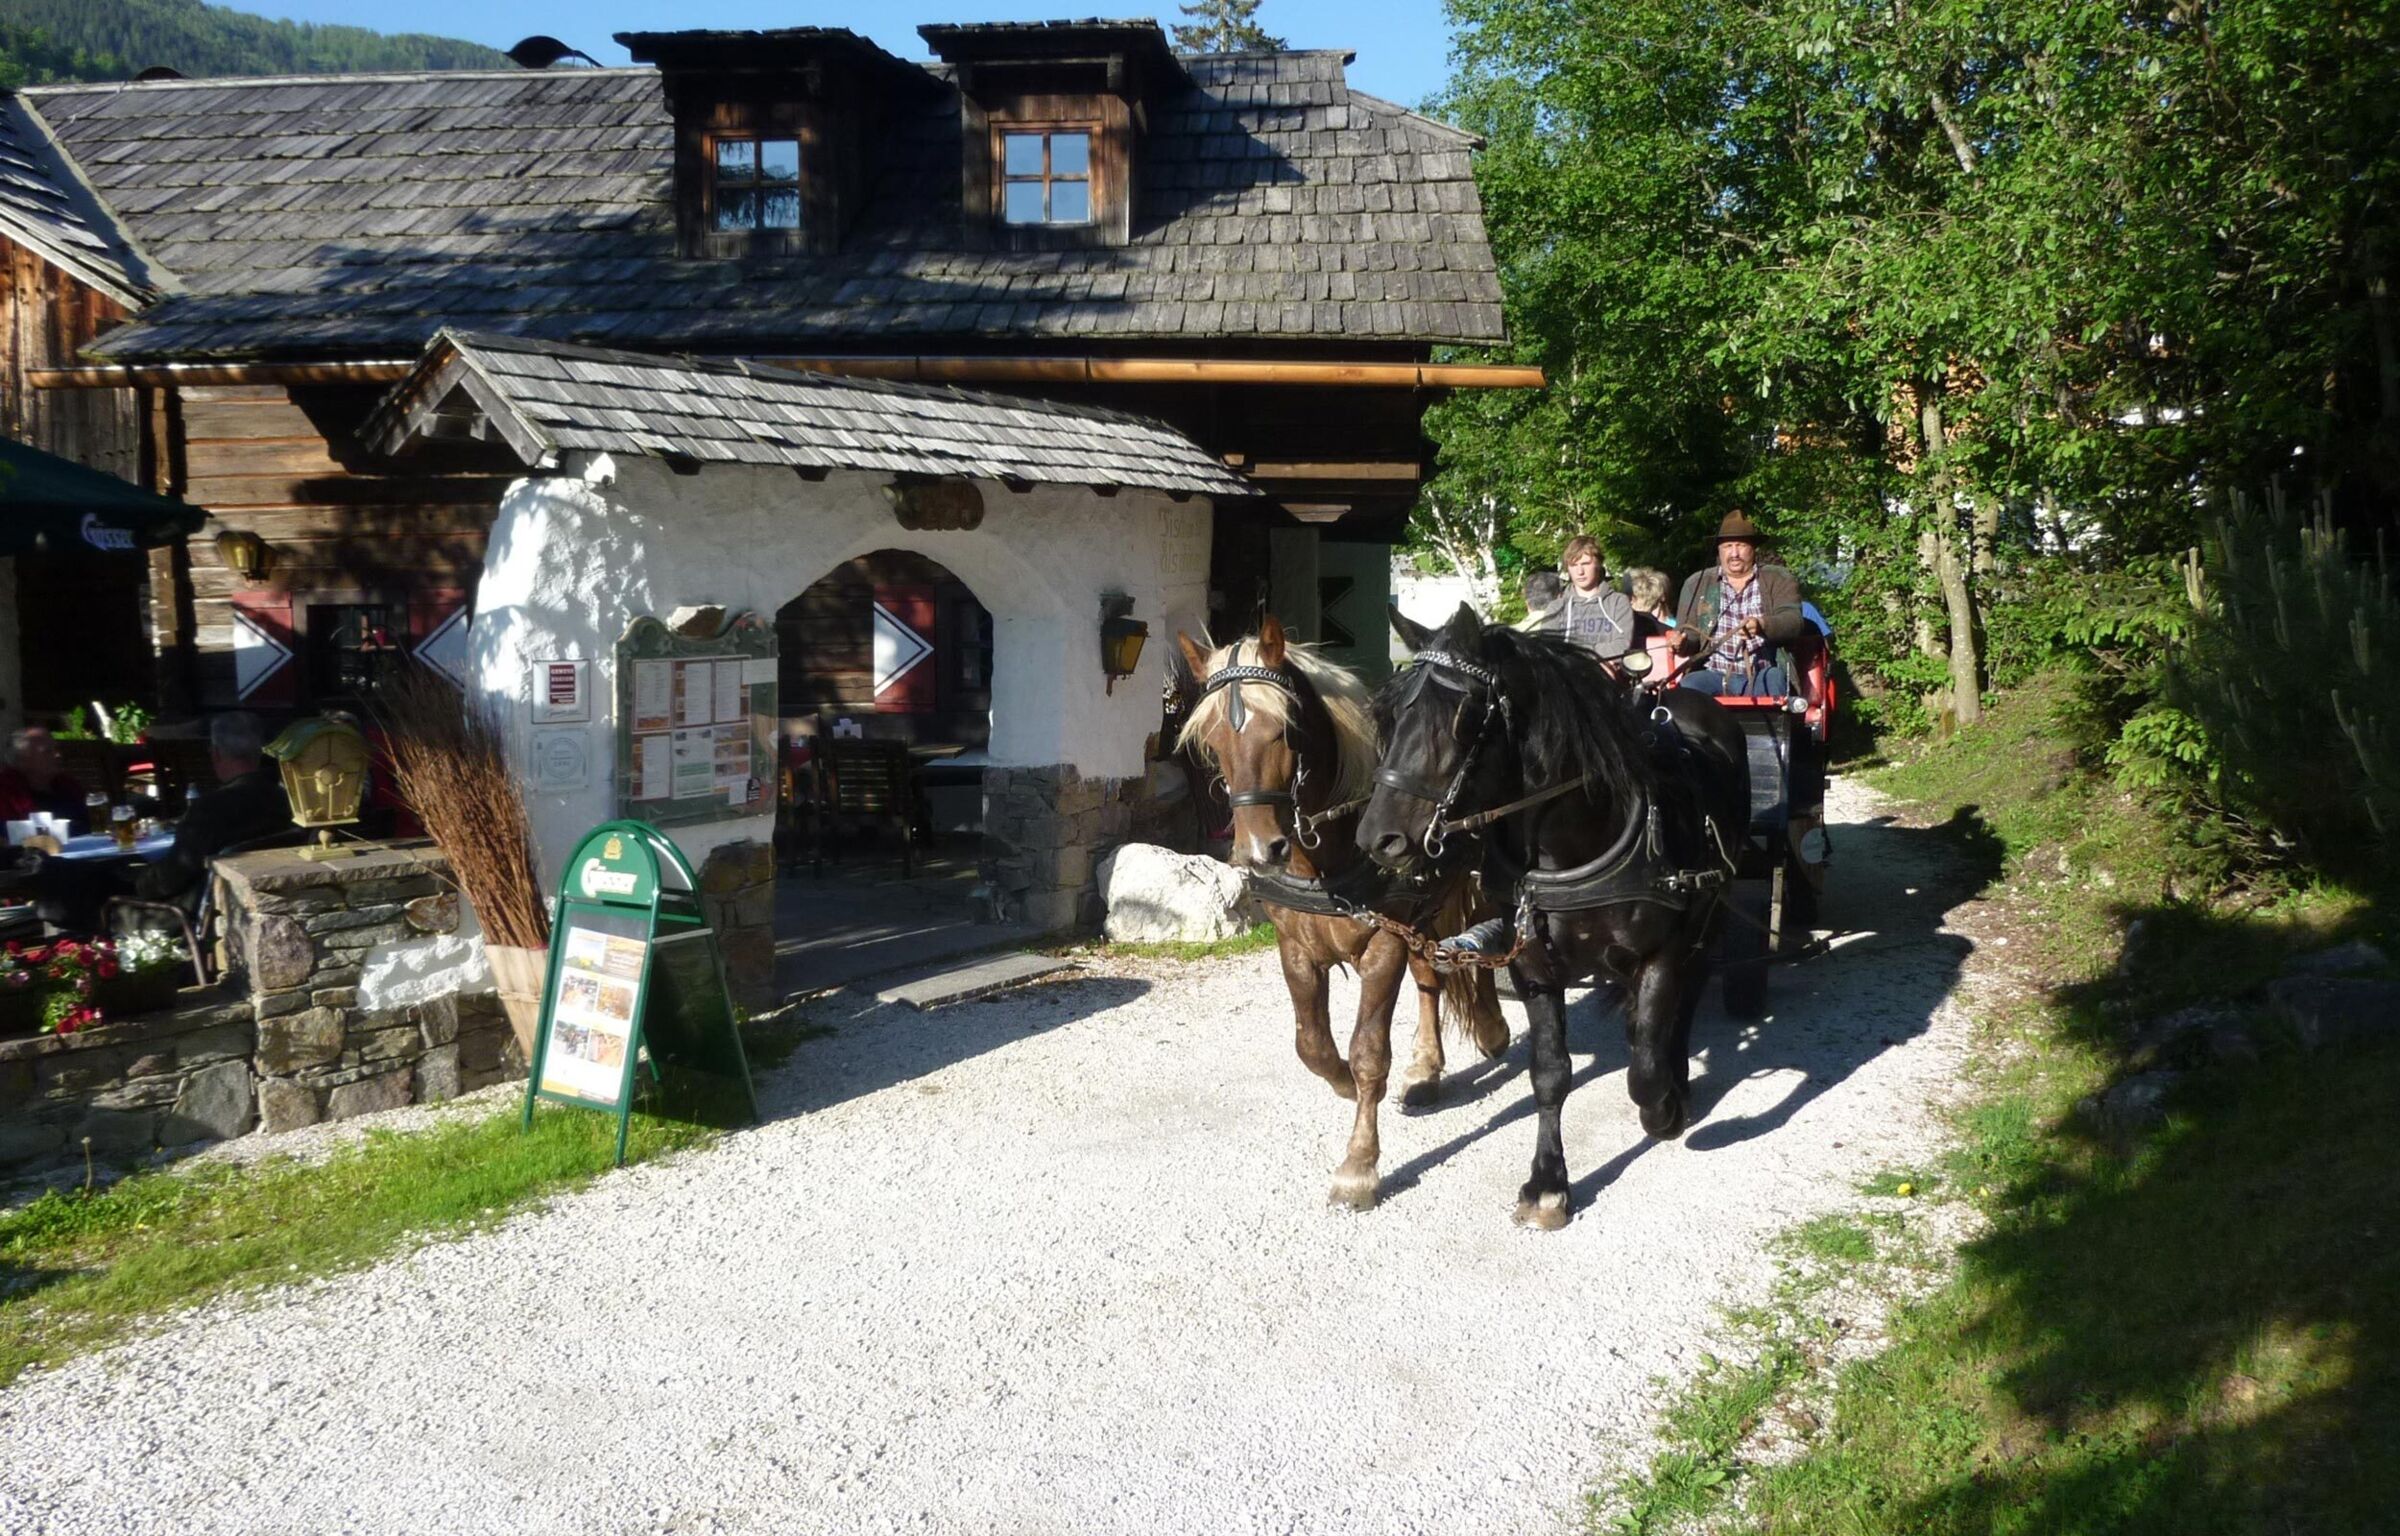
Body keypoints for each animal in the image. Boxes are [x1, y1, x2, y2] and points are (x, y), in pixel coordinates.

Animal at [1176, 619, 1507, 1209]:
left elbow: (1369, 1051)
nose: (1259, 851)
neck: (1327, 853)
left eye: (1285, 730)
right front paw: (1345, 1084)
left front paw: (1359, 1166)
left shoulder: (1383, 945)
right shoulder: (1296, 949)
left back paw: (1493, 1029)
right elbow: (1312, 1045)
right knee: (1430, 976)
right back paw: (1426, 1069)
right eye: (1212, 739)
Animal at [1372, 604, 1747, 1228]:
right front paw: (1548, 1183)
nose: (1377, 838)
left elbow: (1644, 1069)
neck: (1575, 843)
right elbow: (1550, 1073)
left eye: (1462, 717)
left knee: (1688, 995)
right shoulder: (1532, 967)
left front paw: (1664, 1110)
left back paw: (1680, 1083)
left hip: (1710, 911)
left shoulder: (1661, 950)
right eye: (1390, 713)